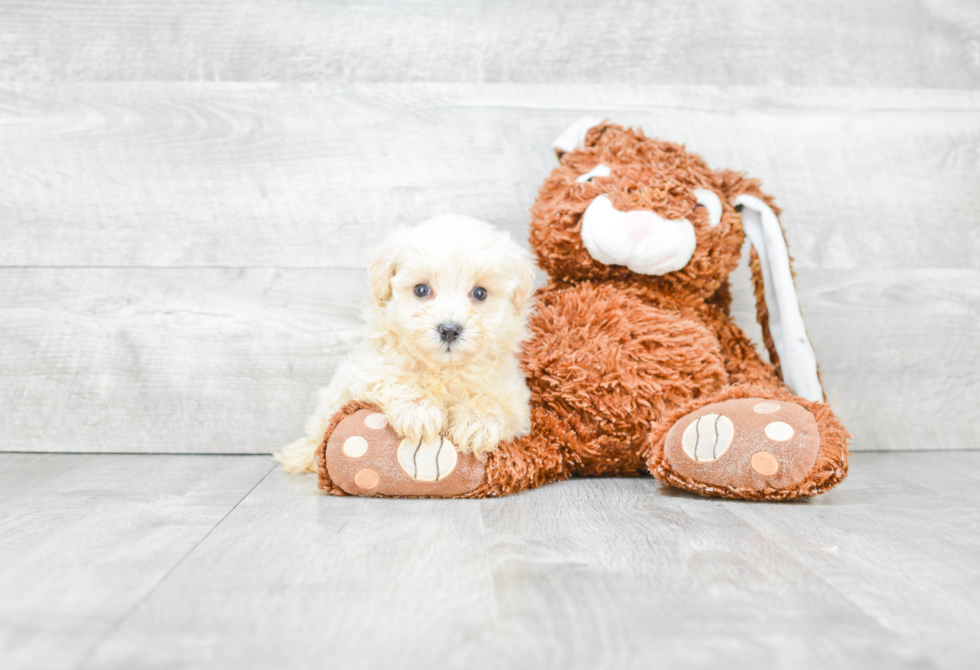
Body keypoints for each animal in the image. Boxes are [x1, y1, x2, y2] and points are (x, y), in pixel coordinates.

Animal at [276, 213, 536, 476]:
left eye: (480, 293)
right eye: (421, 290)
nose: (449, 330)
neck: (442, 369)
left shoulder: (515, 402)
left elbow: (490, 400)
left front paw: (477, 422)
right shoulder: (364, 372)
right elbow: (394, 379)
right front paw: (420, 411)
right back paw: (303, 454)